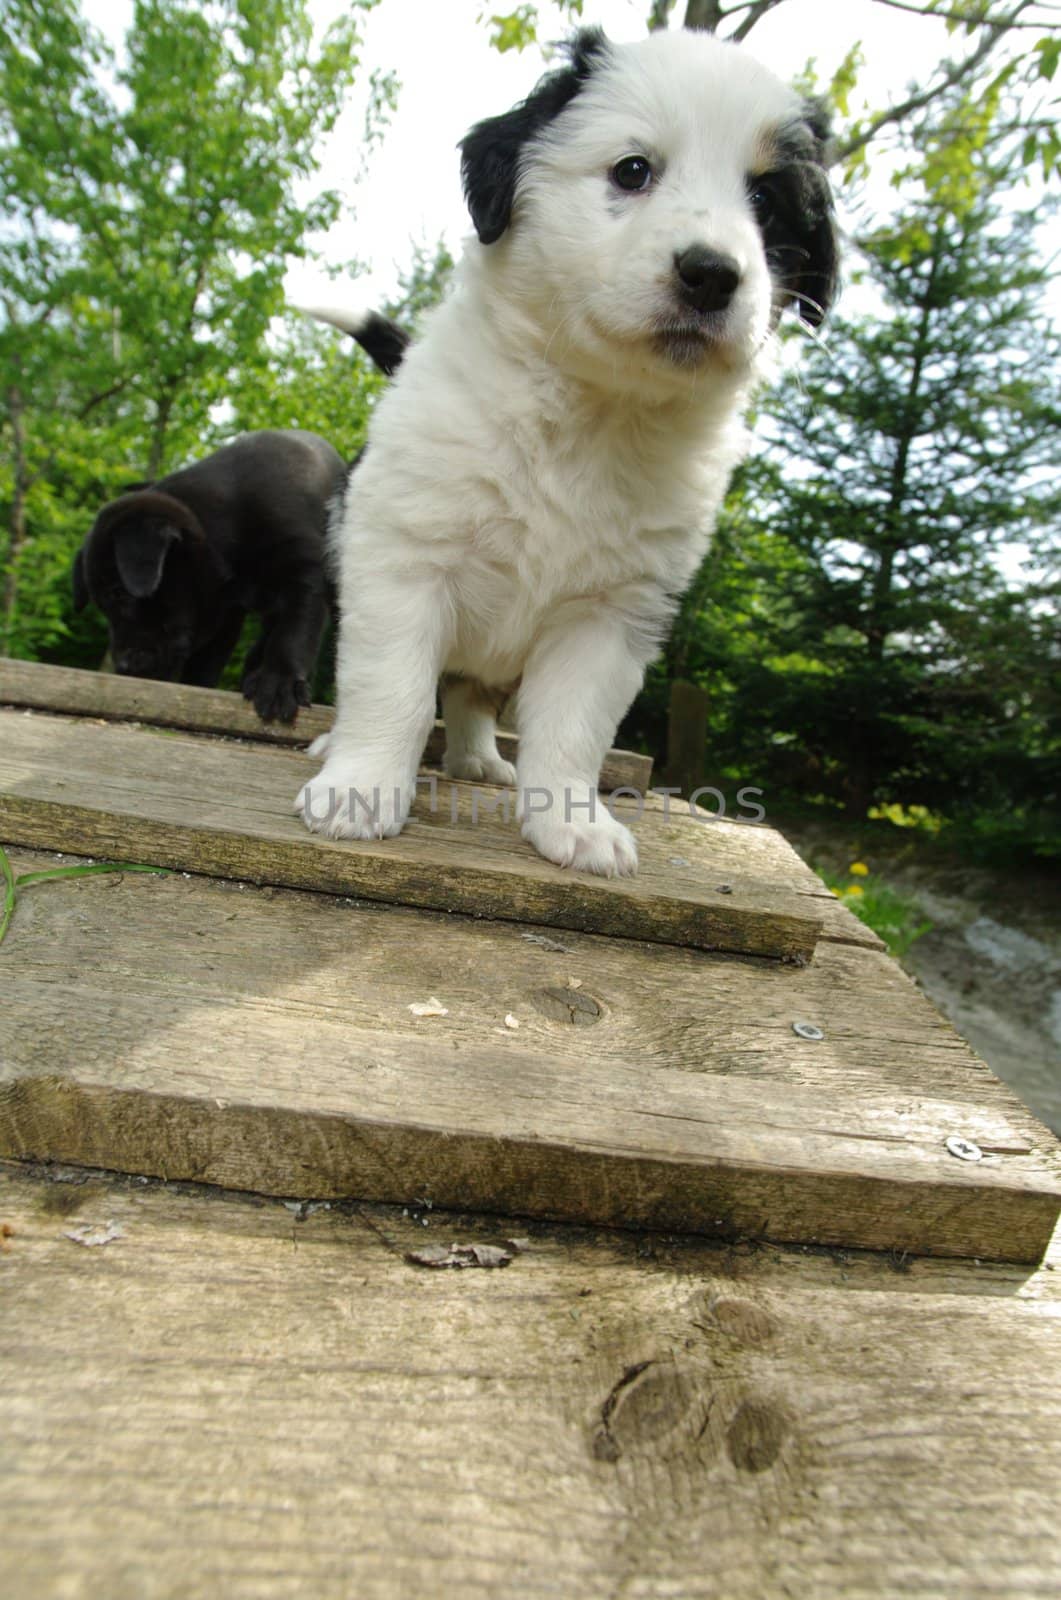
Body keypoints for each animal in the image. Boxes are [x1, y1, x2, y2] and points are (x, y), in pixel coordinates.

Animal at [299, 25, 838, 876]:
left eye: (765, 202)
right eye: (632, 170)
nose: (711, 273)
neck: (589, 412)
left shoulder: (609, 615)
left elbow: (572, 728)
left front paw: (571, 822)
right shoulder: (403, 559)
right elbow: (392, 687)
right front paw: (360, 788)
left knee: (473, 695)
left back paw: (478, 759)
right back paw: (338, 749)